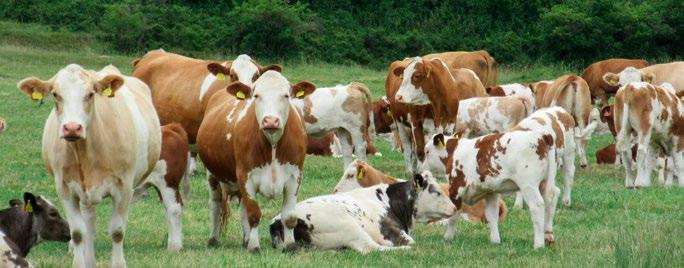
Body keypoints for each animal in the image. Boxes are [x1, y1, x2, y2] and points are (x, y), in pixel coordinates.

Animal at [16, 64, 182, 266]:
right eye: (56, 94)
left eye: (90, 94)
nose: (72, 128)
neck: (85, 152)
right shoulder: (65, 189)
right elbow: (78, 232)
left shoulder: (124, 187)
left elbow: (117, 231)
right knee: (90, 222)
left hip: (166, 180)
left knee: (172, 208)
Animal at [196, 70, 316, 251]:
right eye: (257, 95)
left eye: (286, 95)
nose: (271, 120)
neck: (272, 144)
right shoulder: (246, 176)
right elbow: (253, 214)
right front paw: (254, 246)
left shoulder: (295, 176)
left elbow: (289, 216)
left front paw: (289, 246)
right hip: (212, 174)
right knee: (216, 205)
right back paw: (214, 238)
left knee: (242, 209)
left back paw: (245, 239)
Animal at [268, 172, 454, 253]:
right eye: (436, 191)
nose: (454, 207)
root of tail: (277, 221)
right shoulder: (392, 231)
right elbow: (409, 242)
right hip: (350, 226)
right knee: (370, 248)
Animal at [424, 130, 560, 249]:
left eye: (427, 151)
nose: (423, 167)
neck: (455, 152)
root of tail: (542, 135)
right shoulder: (490, 191)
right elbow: (492, 215)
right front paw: (495, 240)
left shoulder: (456, 189)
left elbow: (453, 216)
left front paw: (447, 238)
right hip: (547, 182)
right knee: (551, 200)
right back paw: (548, 237)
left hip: (528, 185)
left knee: (537, 206)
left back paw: (539, 244)